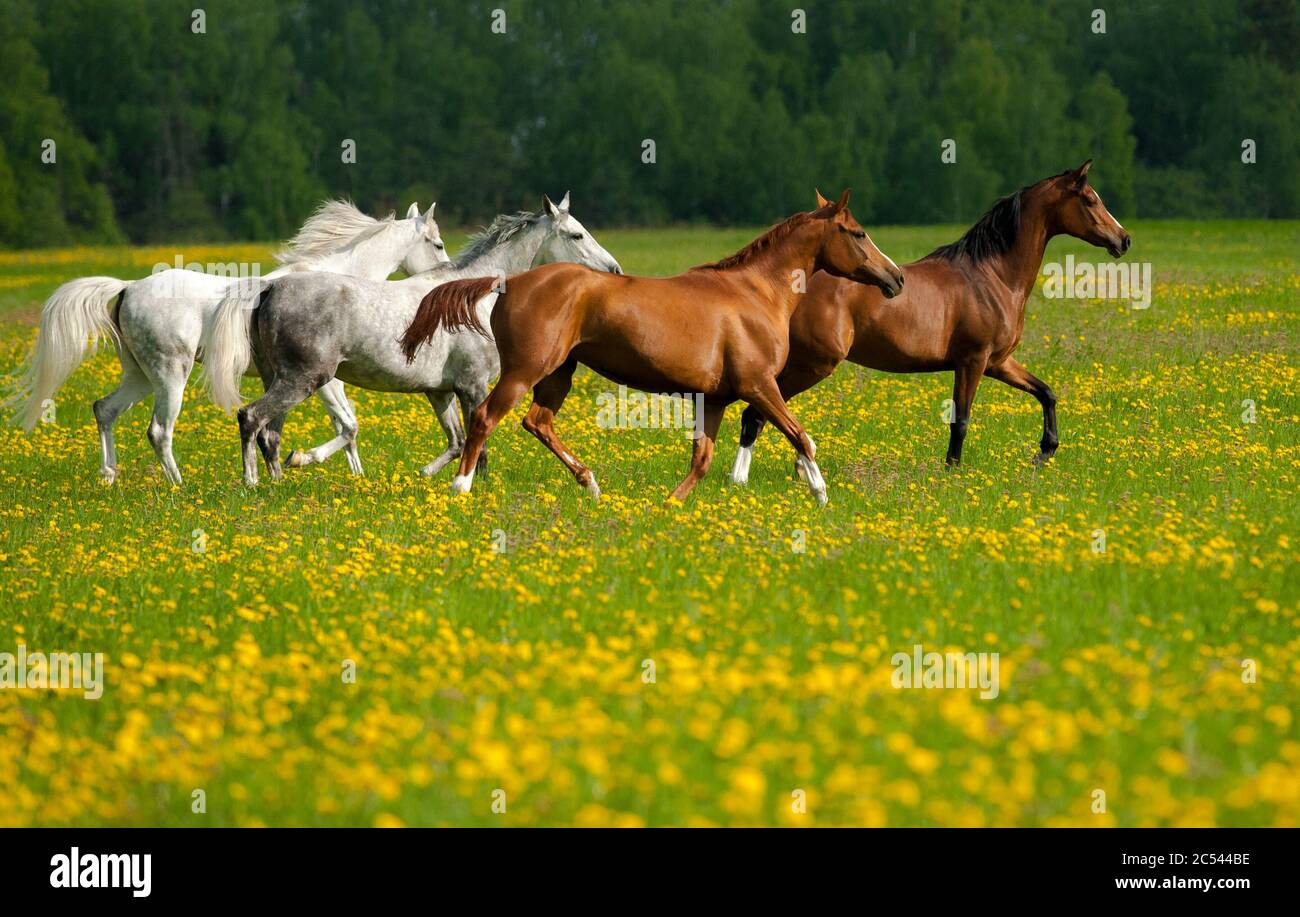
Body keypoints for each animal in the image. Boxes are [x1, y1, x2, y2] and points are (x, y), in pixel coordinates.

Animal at [9, 200, 448, 484]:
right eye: (438, 243)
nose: (445, 276)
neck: (336, 283)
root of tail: (128, 287)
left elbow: (346, 426)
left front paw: (354, 477)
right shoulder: (323, 378)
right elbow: (348, 424)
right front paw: (300, 463)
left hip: (140, 375)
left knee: (105, 409)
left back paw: (108, 475)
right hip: (171, 375)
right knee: (159, 431)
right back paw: (178, 485)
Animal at [220, 193, 623, 485]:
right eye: (576, 234)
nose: (614, 270)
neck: (477, 299)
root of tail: (270, 288)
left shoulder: (440, 392)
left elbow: (457, 442)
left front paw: (427, 473)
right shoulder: (473, 385)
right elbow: (479, 441)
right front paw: (476, 488)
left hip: (283, 379)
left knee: (271, 434)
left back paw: (280, 481)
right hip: (304, 380)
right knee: (251, 418)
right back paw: (253, 483)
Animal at [399, 190, 905, 506]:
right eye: (858, 232)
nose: (896, 278)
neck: (756, 293)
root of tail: (510, 282)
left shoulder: (715, 399)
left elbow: (702, 460)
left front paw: (670, 505)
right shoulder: (760, 386)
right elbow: (802, 436)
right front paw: (820, 493)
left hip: (558, 375)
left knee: (537, 422)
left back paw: (590, 483)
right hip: (525, 371)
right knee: (486, 418)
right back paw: (461, 487)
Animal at [729, 161, 1132, 483]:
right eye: (1090, 199)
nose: (1124, 239)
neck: (993, 276)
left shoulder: (998, 363)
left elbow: (1046, 393)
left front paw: (1044, 451)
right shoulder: (972, 361)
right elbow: (961, 419)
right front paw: (952, 470)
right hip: (811, 365)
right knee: (757, 413)